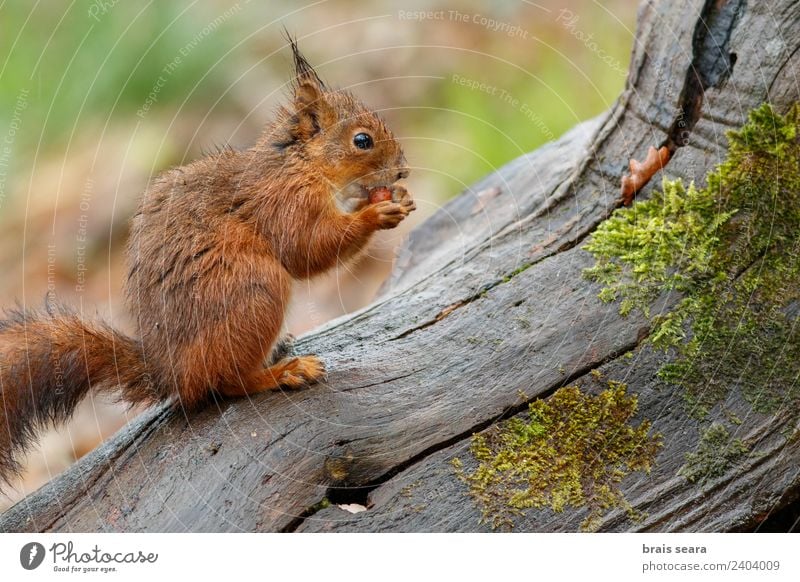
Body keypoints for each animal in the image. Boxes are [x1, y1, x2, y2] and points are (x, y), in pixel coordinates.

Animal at [0, 35, 412, 484]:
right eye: (362, 140)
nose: (403, 171)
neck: (299, 163)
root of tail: (170, 373)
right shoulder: (282, 203)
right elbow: (306, 249)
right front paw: (375, 214)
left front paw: (396, 200)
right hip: (256, 290)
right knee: (229, 383)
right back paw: (281, 372)